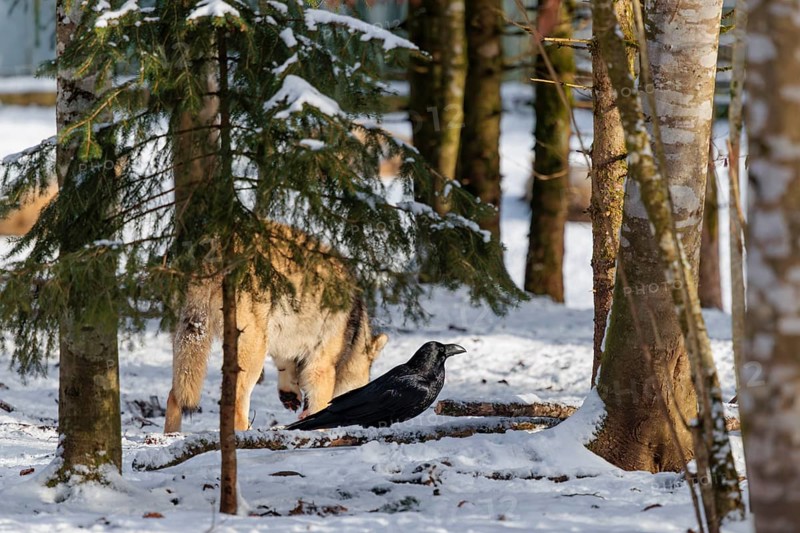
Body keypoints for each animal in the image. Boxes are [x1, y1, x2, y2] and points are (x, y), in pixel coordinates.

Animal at [164, 227, 388, 433]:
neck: (354, 332)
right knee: (236, 403)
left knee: (174, 396)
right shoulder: (321, 368)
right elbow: (319, 411)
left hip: (188, 344)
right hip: (252, 353)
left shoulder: (285, 343)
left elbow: (285, 367)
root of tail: (214, 249)